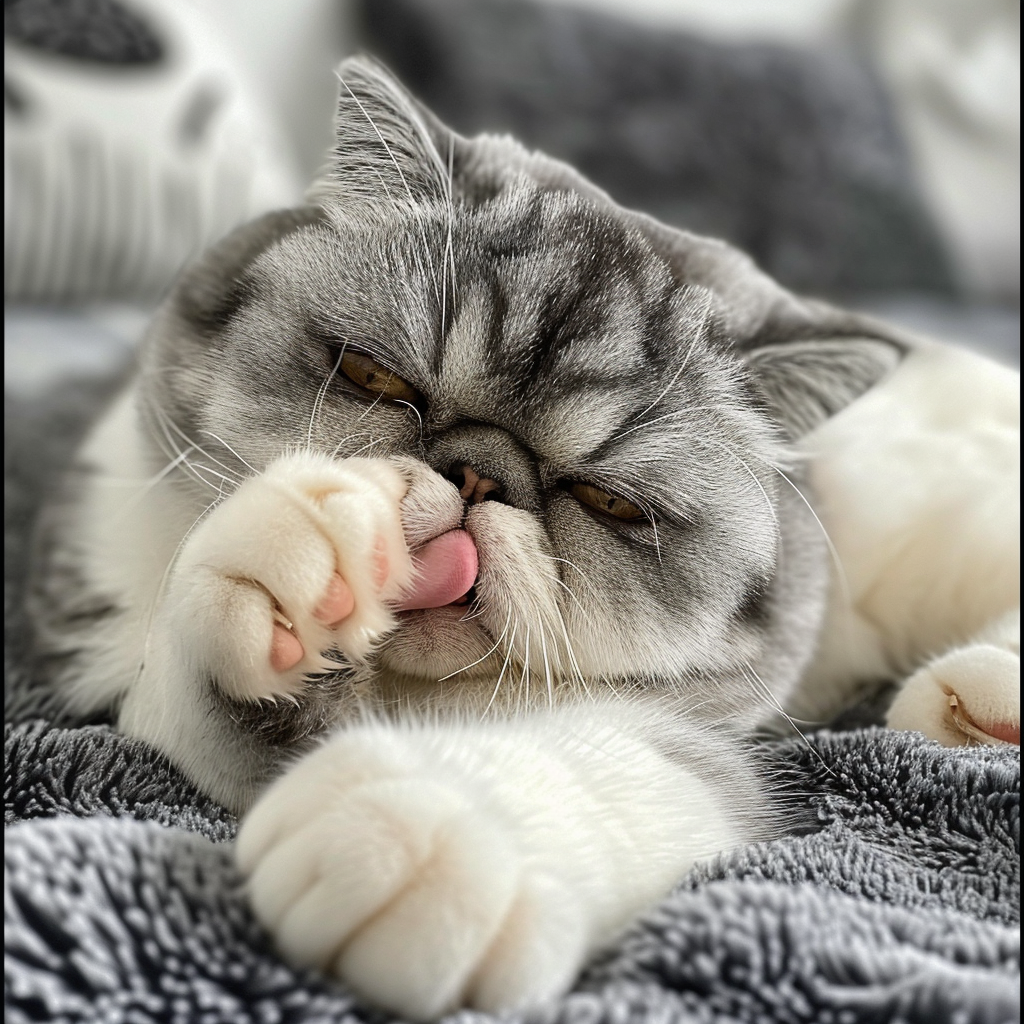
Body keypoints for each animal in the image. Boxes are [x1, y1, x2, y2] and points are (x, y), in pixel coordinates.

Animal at [29, 58, 1015, 1024]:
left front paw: (409, 839)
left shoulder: (717, 754)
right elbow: (204, 670)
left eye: (608, 502)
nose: (477, 475)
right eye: (375, 378)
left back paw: (967, 712)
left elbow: (579, 768)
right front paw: (300, 557)